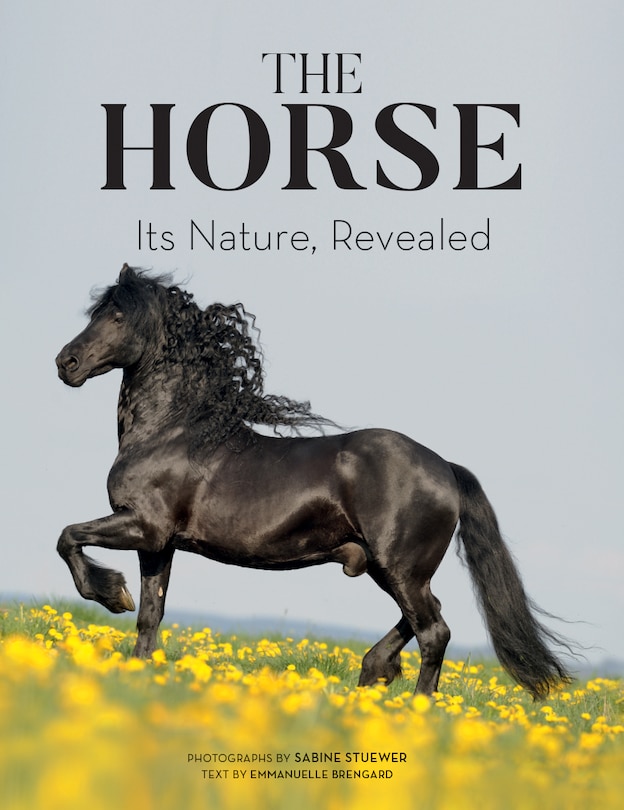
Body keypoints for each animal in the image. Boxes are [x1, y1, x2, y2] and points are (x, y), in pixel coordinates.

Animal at [55, 264, 571, 698]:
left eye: (118, 316)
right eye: (96, 313)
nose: (66, 362)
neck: (173, 430)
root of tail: (445, 467)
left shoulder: (142, 526)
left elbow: (68, 538)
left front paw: (110, 593)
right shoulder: (159, 544)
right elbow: (149, 616)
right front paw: (138, 667)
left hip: (400, 568)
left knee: (434, 631)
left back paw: (414, 703)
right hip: (391, 569)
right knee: (428, 616)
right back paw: (373, 671)